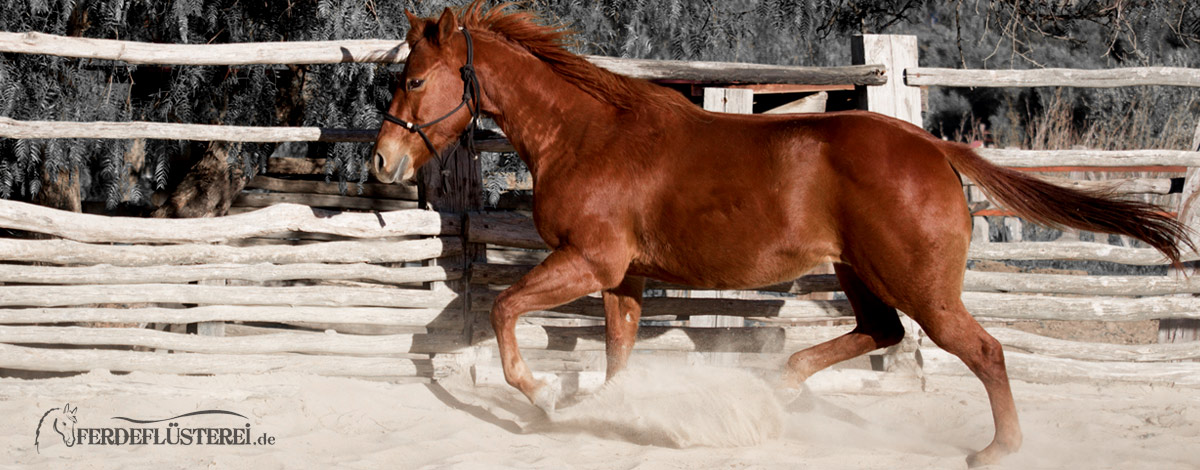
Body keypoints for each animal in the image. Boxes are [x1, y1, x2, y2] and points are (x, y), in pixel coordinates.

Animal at [372, 3, 1190, 465]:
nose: (382, 160)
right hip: (862, 273)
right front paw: (608, 412)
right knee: (881, 332)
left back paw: (997, 450)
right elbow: (617, 355)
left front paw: (542, 397)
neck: (587, 136)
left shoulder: (588, 261)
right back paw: (779, 383)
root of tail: (935, 148)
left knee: (980, 350)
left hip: (920, 285)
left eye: (412, 81)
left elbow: (506, 309)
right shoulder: (623, 278)